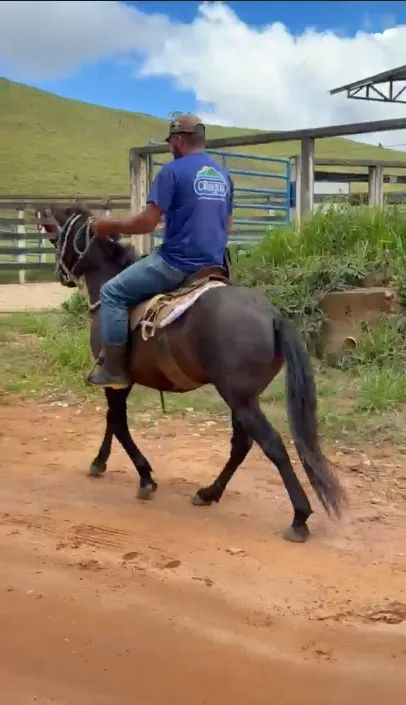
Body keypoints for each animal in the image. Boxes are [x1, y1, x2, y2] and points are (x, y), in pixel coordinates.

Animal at [38, 203, 346, 543]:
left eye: (55, 236)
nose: (61, 276)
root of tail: (273, 317)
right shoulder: (121, 383)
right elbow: (112, 421)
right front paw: (100, 462)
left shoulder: (114, 379)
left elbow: (117, 422)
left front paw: (144, 476)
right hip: (242, 398)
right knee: (242, 444)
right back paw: (210, 492)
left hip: (239, 398)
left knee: (272, 444)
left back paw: (299, 516)